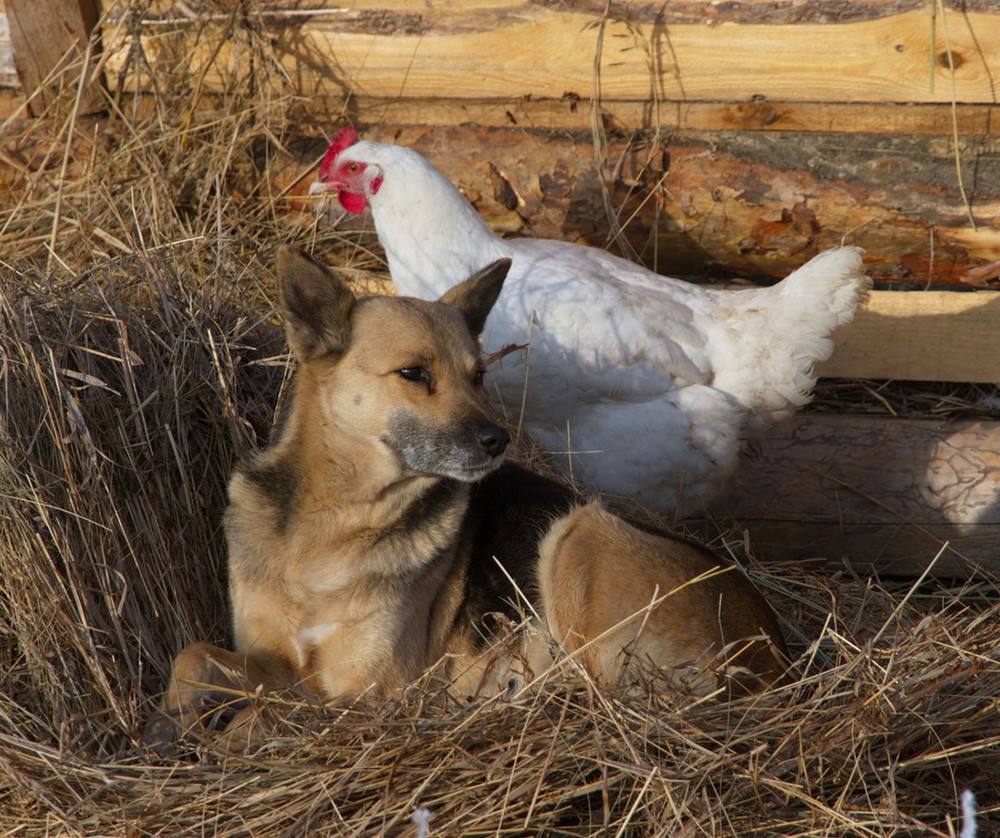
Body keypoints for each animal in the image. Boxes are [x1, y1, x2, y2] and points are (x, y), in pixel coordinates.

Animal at [146, 246, 788, 752]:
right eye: (413, 373)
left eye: (478, 375)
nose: (498, 440)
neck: (338, 522)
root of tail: (773, 657)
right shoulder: (276, 659)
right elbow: (193, 653)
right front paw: (169, 722)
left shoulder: (371, 694)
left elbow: (266, 715)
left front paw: (223, 735)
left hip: (579, 531)